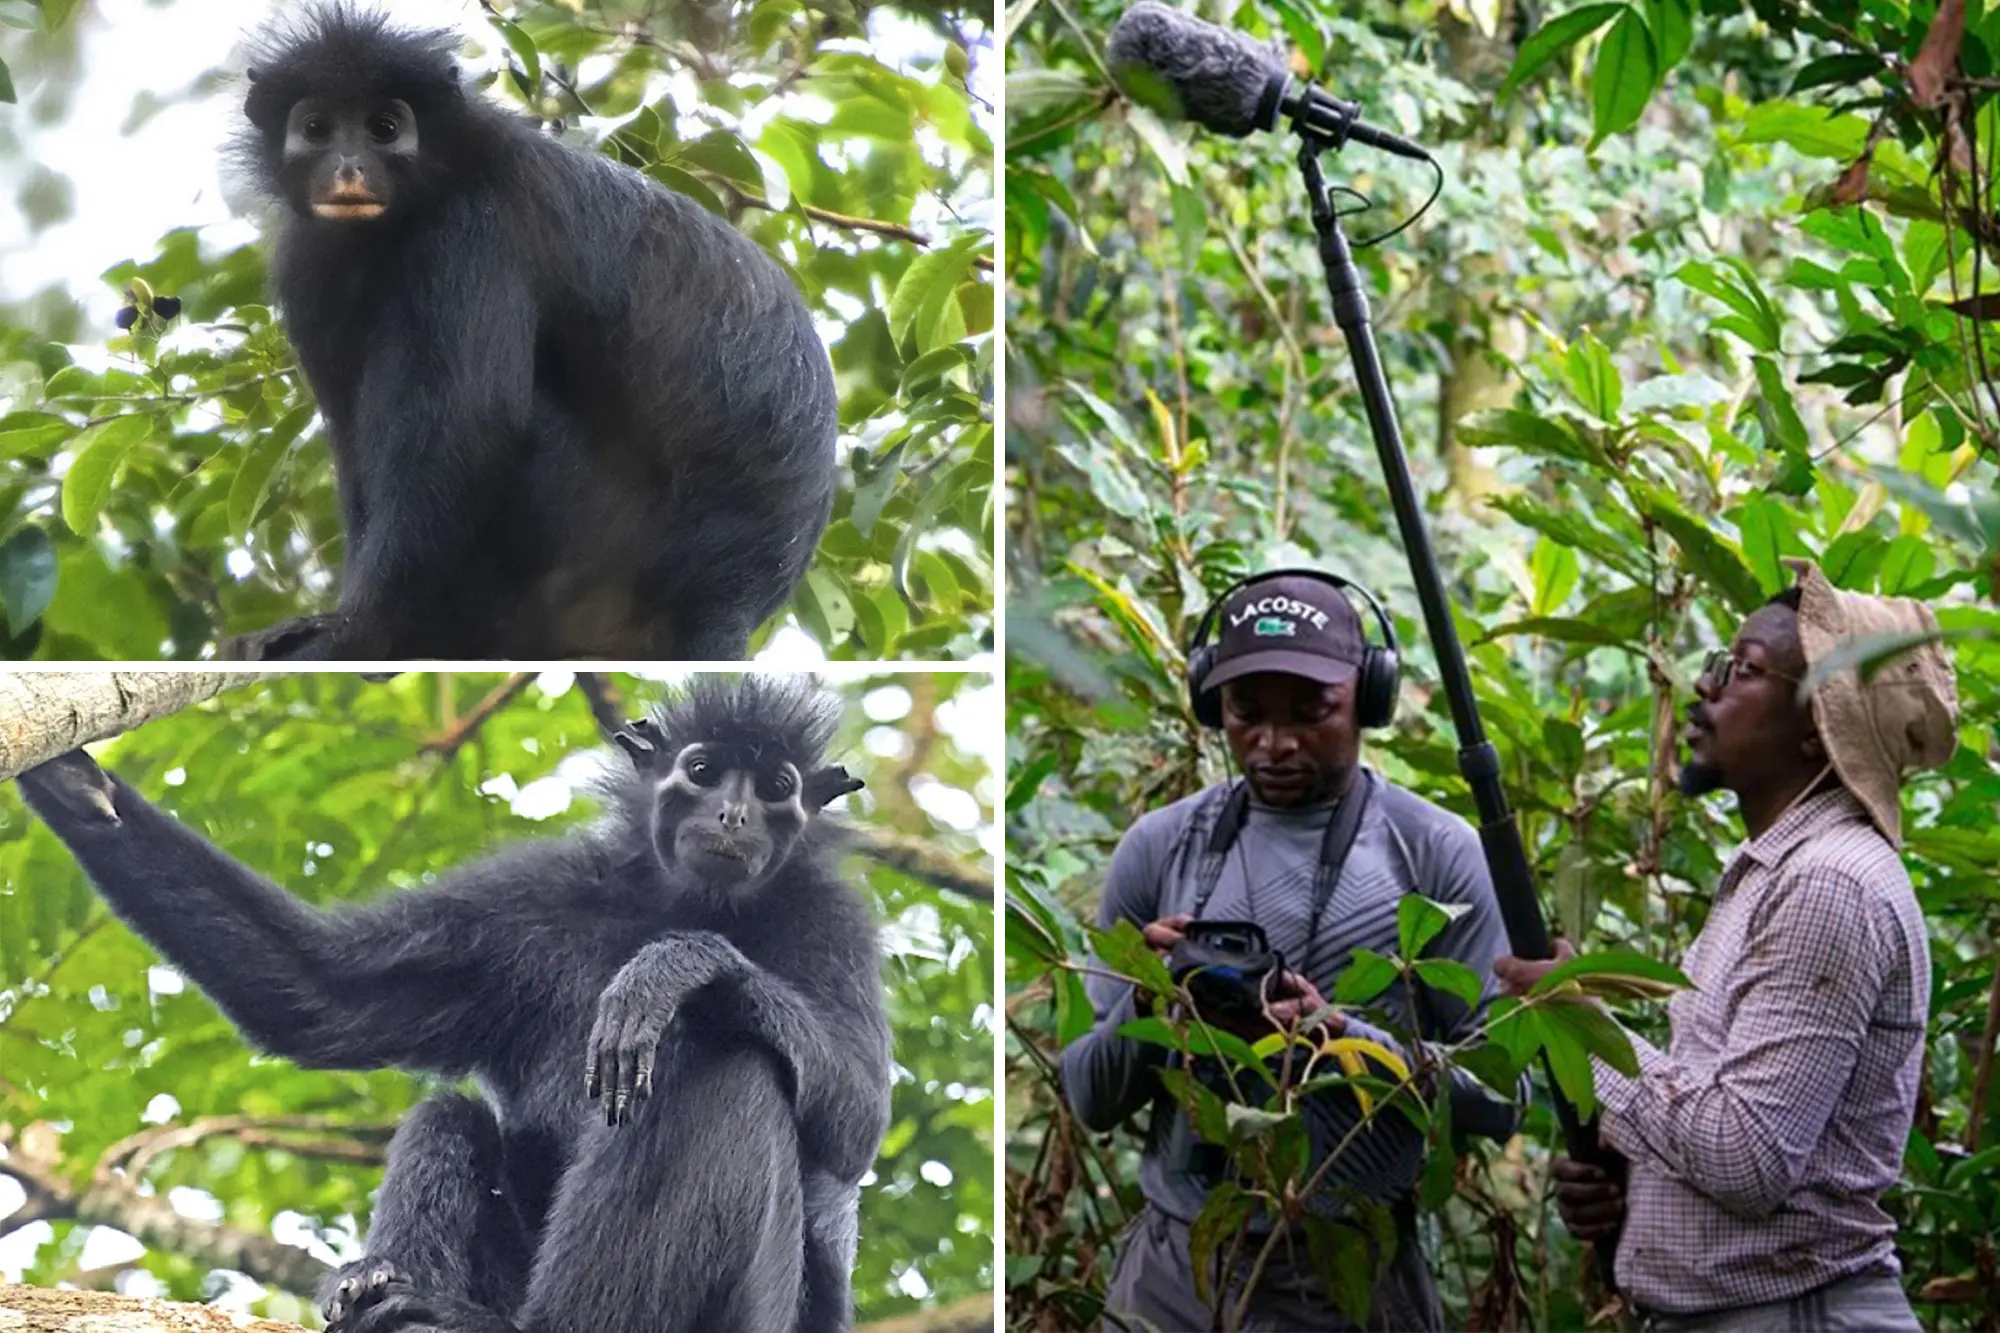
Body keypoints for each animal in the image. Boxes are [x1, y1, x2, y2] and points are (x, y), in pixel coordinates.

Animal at [15, 675, 892, 1332]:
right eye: (704, 771)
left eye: (776, 787)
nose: (735, 812)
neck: (684, 900)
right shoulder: (535, 899)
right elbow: (319, 994)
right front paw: (76, 783)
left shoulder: (833, 919)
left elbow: (857, 1119)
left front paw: (673, 967)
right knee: (450, 1115)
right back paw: (386, 1290)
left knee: (731, 1065)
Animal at [223, 5, 841, 661]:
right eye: (316, 128)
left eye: (384, 128)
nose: (347, 167)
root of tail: (732, 597)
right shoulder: (308, 263)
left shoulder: (473, 228)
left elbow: (468, 426)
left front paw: (360, 627)